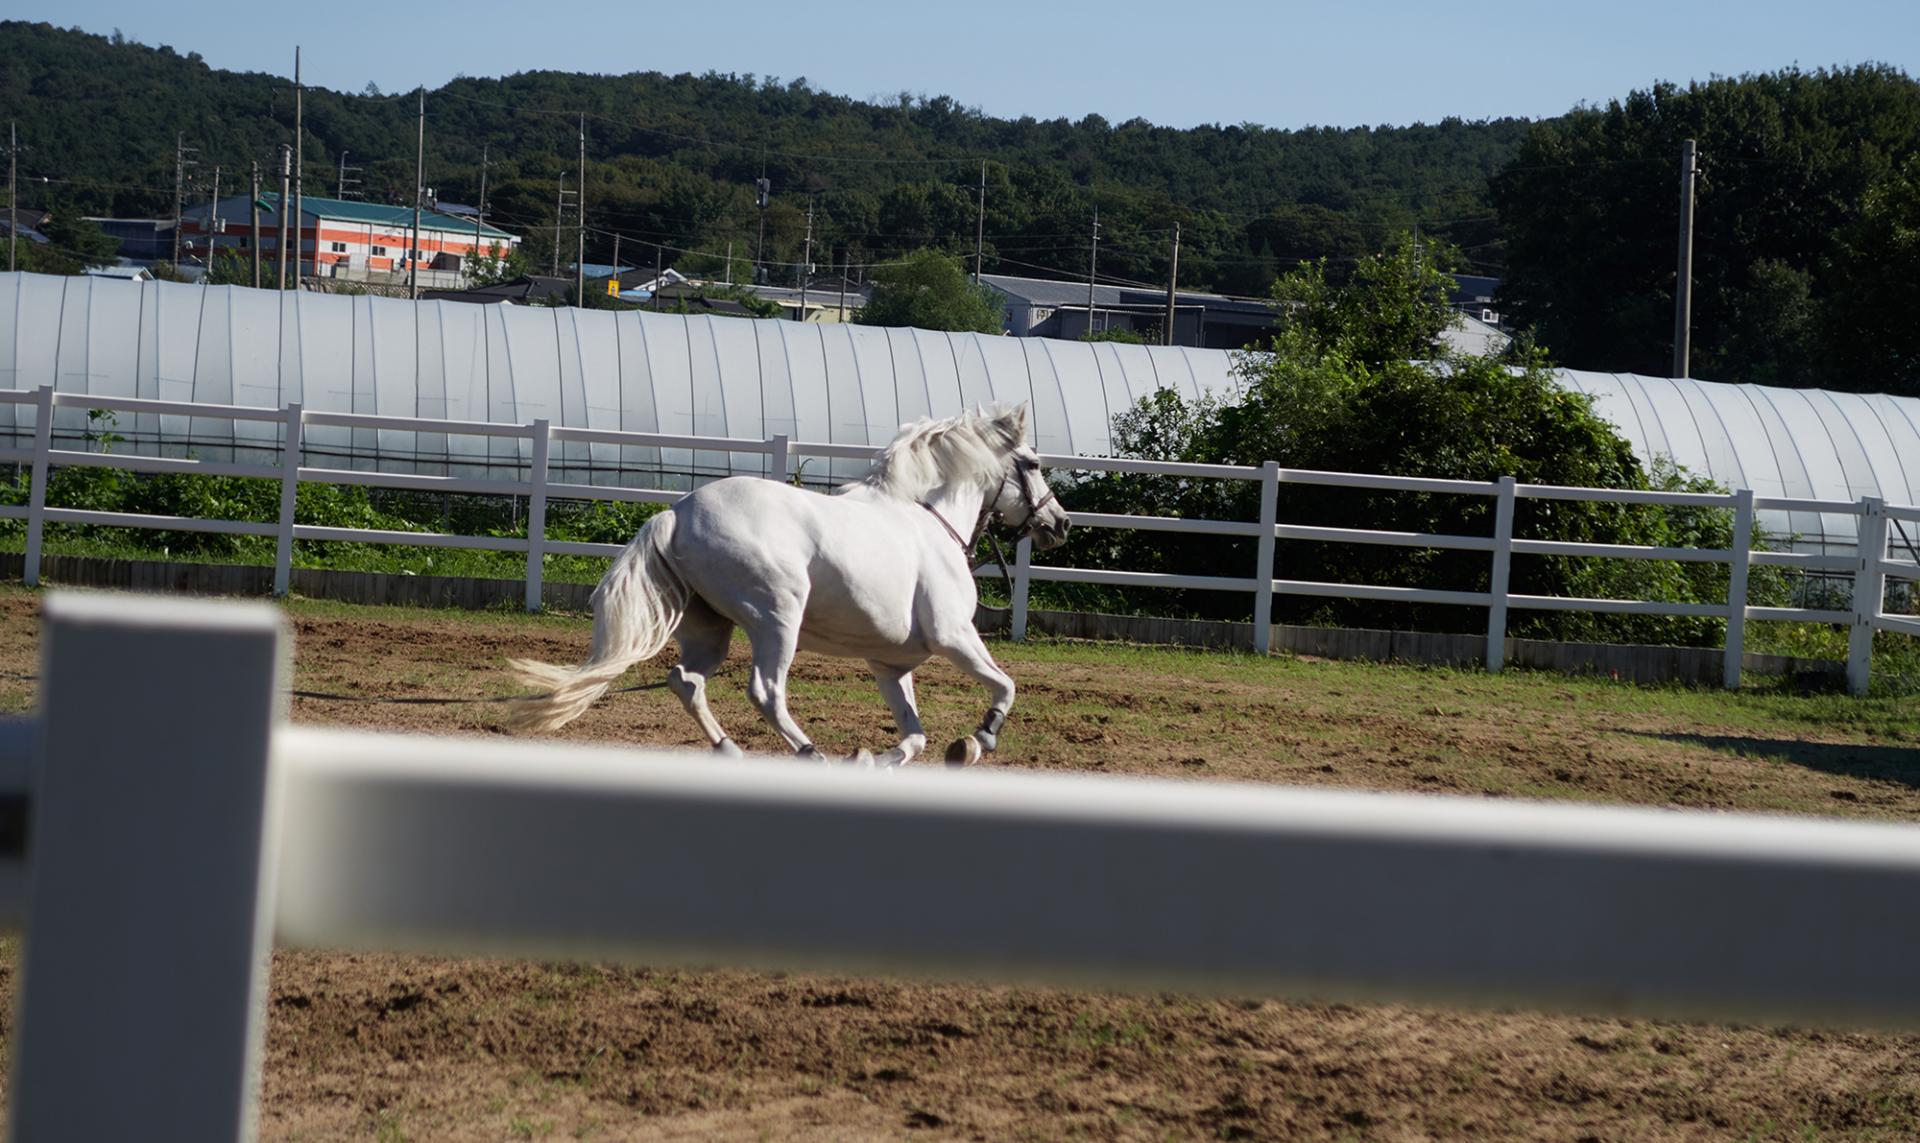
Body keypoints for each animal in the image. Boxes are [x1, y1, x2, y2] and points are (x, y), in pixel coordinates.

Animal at [506, 402, 1071, 767]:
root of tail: (679, 513)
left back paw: (730, 749)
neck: (931, 521)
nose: (1059, 524)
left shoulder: (890, 665)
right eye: (1033, 464)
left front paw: (871, 758)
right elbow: (1005, 686)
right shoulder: (954, 637)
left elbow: (914, 739)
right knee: (766, 692)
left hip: (710, 629)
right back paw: (809, 751)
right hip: (777, 619)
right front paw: (978, 740)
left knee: (686, 681)